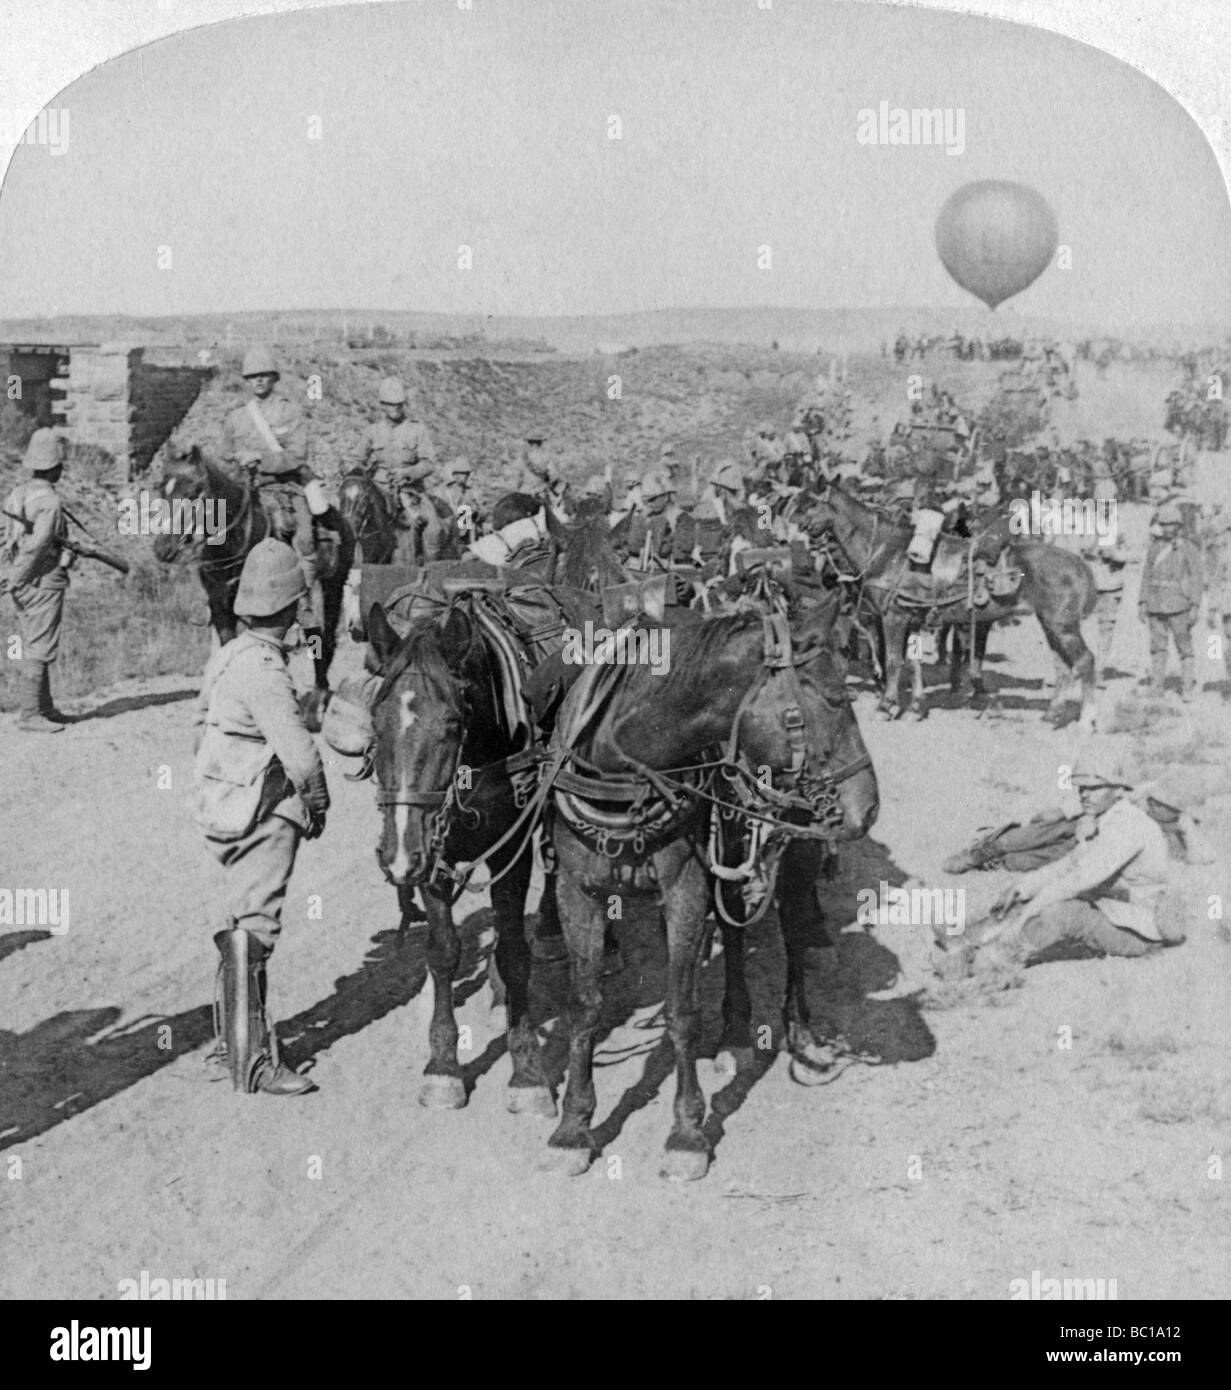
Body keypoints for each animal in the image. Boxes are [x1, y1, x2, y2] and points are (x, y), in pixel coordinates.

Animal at [156, 442, 354, 686]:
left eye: (193, 493)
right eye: (162, 491)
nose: (163, 548)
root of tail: (343, 521)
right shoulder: (221, 608)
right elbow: (229, 645)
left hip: (333, 585)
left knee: (322, 636)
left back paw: (321, 688)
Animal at [544, 603, 883, 1178]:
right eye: (835, 699)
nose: (870, 804)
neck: (620, 775)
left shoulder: (684, 889)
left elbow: (682, 1011)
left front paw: (686, 1133)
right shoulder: (576, 891)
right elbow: (584, 1005)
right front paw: (573, 1125)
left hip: (797, 840)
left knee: (794, 929)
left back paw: (800, 1034)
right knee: (733, 927)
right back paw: (737, 1032)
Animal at [811, 483, 1100, 728]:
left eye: (810, 503)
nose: (803, 528)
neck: (889, 553)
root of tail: (1079, 564)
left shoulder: (894, 617)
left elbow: (894, 661)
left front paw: (887, 706)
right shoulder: (912, 618)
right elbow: (913, 663)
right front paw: (917, 707)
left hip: (1063, 626)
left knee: (1084, 661)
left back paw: (1087, 719)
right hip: (1050, 624)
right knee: (1063, 666)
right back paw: (1052, 715)